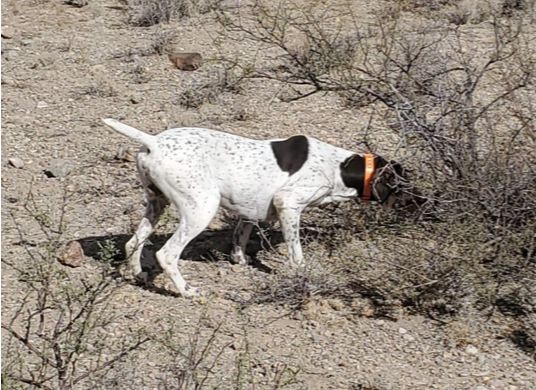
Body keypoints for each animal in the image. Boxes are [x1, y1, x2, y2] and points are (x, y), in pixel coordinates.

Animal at [101, 117, 410, 298]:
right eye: (403, 184)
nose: (417, 202)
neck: (338, 167)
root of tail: (153, 142)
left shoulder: (250, 210)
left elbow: (241, 236)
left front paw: (240, 260)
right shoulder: (288, 204)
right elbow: (296, 252)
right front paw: (302, 274)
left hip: (157, 204)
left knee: (133, 243)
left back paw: (138, 274)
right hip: (200, 208)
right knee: (166, 254)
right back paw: (187, 291)